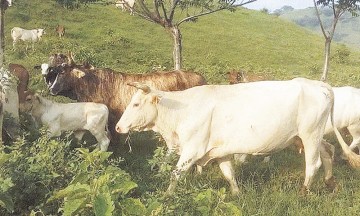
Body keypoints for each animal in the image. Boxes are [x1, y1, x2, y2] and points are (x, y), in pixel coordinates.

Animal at [116, 79, 360, 196]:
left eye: (135, 104)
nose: (118, 127)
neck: (181, 110)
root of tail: (317, 83)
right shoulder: (219, 151)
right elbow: (229, 174)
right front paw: (236, 193)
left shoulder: (192, 149)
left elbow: (176, 175)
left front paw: (167, 196)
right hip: (306, 136)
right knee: (329, 150)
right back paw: (330, 182)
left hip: (310, 134)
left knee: (313, 163)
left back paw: (304, 191)